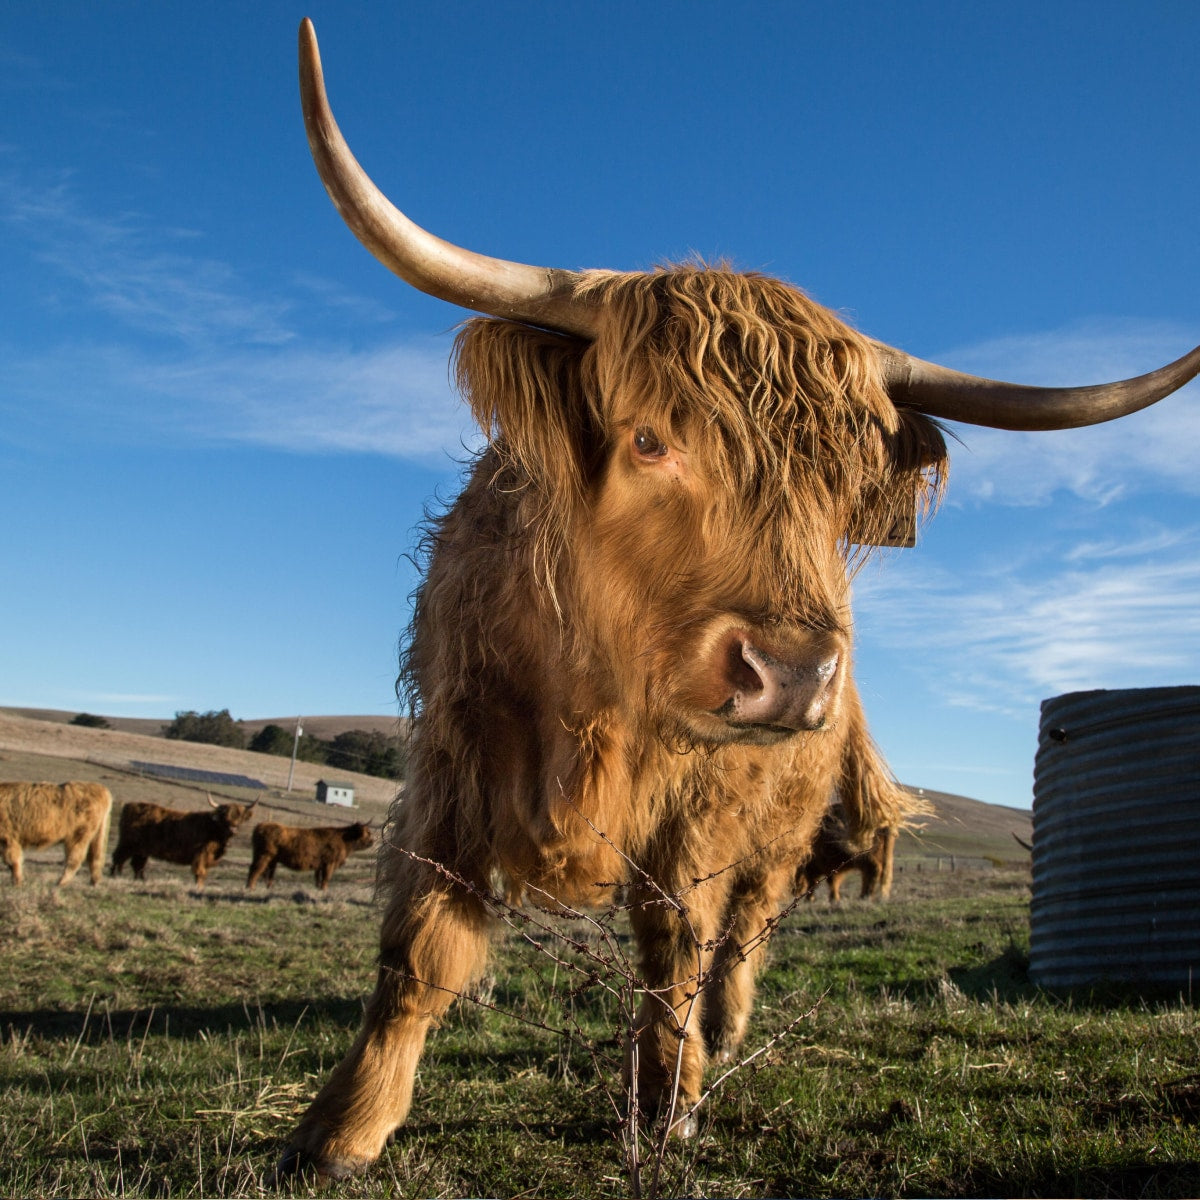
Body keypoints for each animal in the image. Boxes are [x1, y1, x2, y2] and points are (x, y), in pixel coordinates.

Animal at [110, 792, 258, 888]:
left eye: (239, 817)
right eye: (225, 817)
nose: (233, 829)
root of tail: (130, 805)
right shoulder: (201, 854)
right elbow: (200, 872)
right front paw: (198, 887)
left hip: (141, 849)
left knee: (137, 865)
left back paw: (140, 880)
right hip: (127, 844)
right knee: (118, 857)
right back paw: (115, 875)